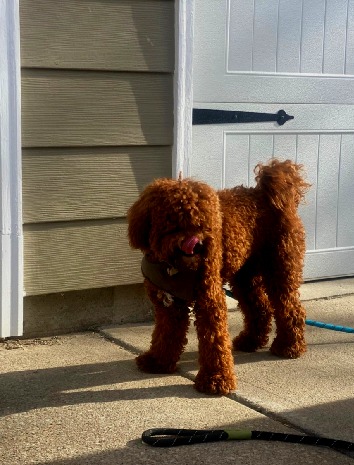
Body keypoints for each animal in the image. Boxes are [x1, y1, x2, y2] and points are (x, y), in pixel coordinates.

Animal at [127, 158, 310, 394]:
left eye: (202, 222)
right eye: (174, 220)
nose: (197, 244)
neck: (173, 266)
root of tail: (265, 194)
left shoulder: (209, 300)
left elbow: (214, 339)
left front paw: (216, 380)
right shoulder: (168, 305)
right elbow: (165, 333)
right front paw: (158, 362)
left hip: (279, 268)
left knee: (290, 308)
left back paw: (289, 346)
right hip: (245, 277)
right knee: (260, 307)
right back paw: (251, 341)